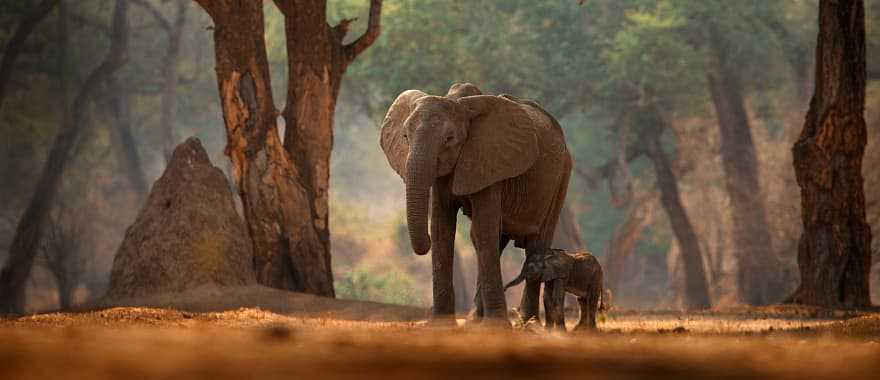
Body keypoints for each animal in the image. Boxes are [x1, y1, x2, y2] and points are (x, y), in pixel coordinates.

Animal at [378, 83, 572, 324]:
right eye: (405, 136)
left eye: (449, 139)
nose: (423, 243)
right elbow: (442, 229)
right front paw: (440, 324)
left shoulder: (490, 162)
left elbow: (482, 232)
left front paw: (497, 325)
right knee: (496, 240)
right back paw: (474, 320)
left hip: (561, 177)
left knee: (536, 244)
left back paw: (528, 322)